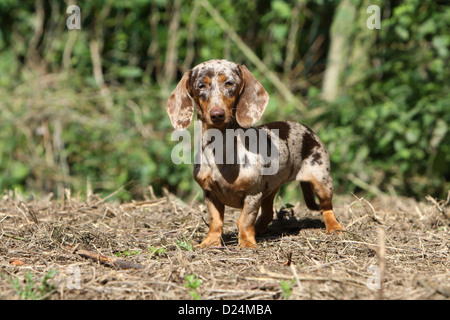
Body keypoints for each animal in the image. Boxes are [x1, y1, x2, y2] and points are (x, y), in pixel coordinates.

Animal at [167, 60, 342, 249]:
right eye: (201, 86)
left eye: (229, 83)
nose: (217, 114)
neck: (221, 149)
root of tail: (307, 129)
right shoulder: (210, 193)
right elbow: (215, 221)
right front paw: (210, 241)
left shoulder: (252, 194)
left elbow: (244, 220)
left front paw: (247, 243)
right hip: (270, 189)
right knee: (268, 213)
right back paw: (259, 229)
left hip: (322, 182)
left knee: (327, 208)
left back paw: (334, 227)